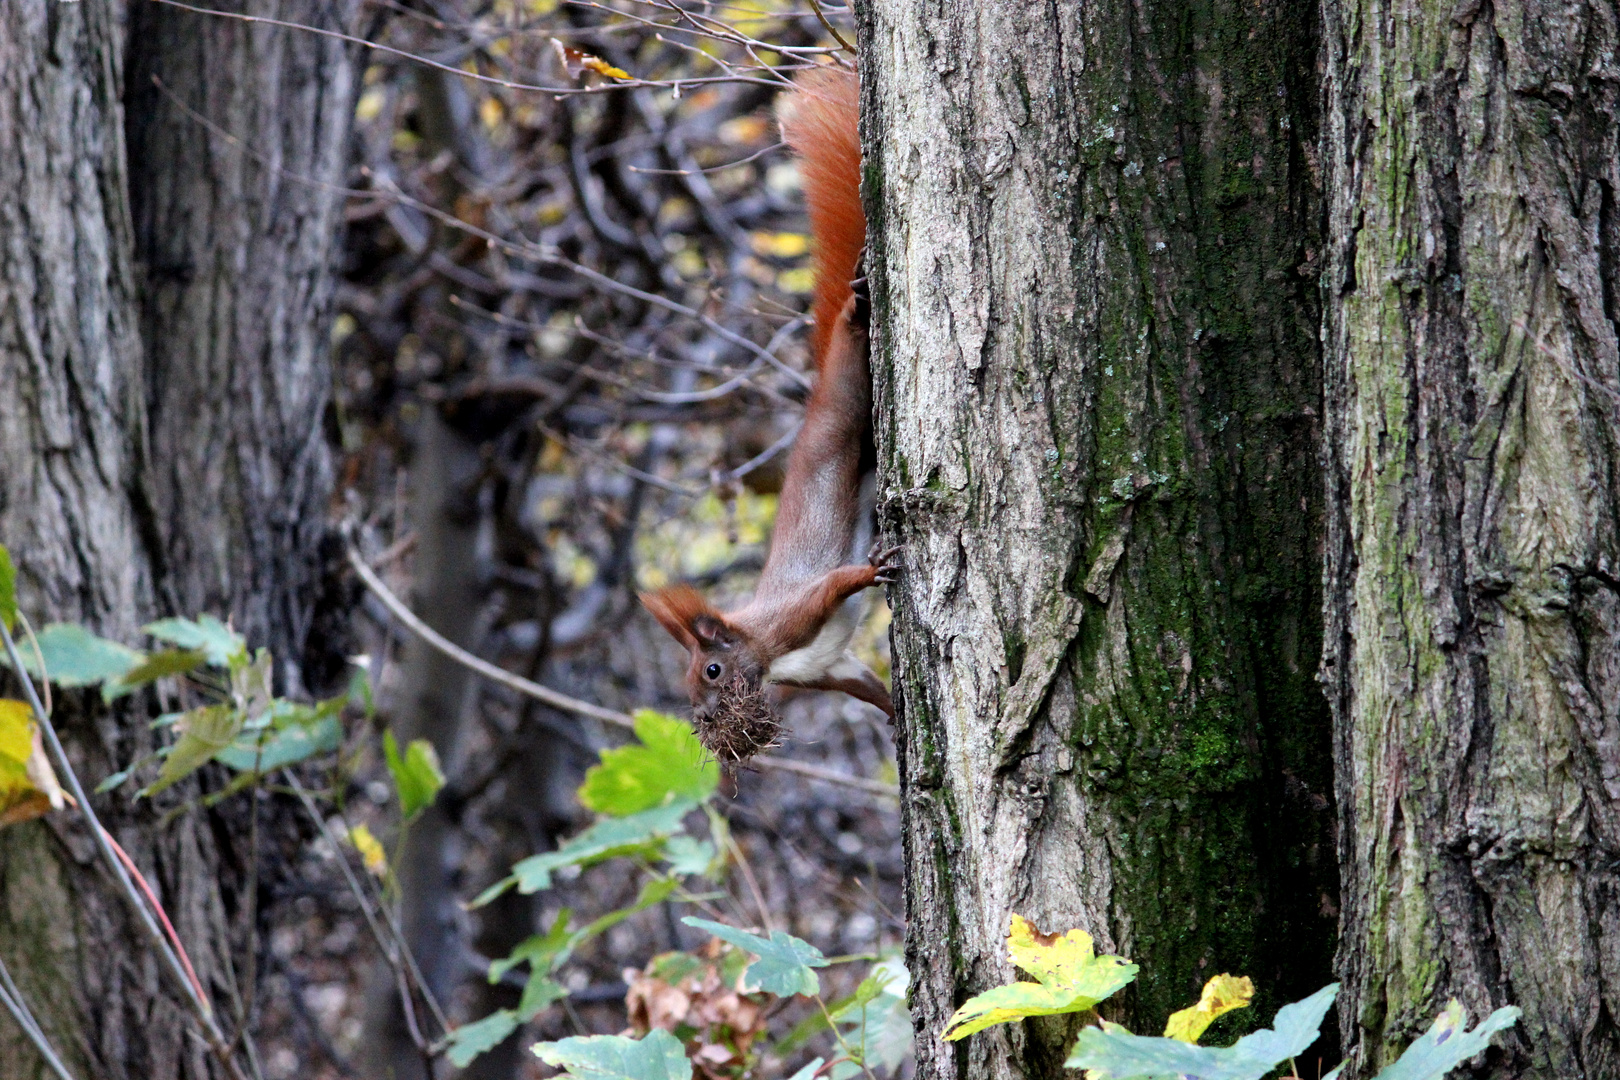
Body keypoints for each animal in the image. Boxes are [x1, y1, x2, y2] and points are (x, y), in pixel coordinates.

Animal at [641, 67, 900, 725]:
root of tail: (814, 406)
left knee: (847, 353)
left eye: (711, 669)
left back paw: (857, 308)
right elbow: (867, 686)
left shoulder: (794, 615)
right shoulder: (831, 668)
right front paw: (895, 719)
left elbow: (836, 585)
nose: (706, 722)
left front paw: (873, 569)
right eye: (690, 684)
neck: (763, 648)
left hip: (843, 407)